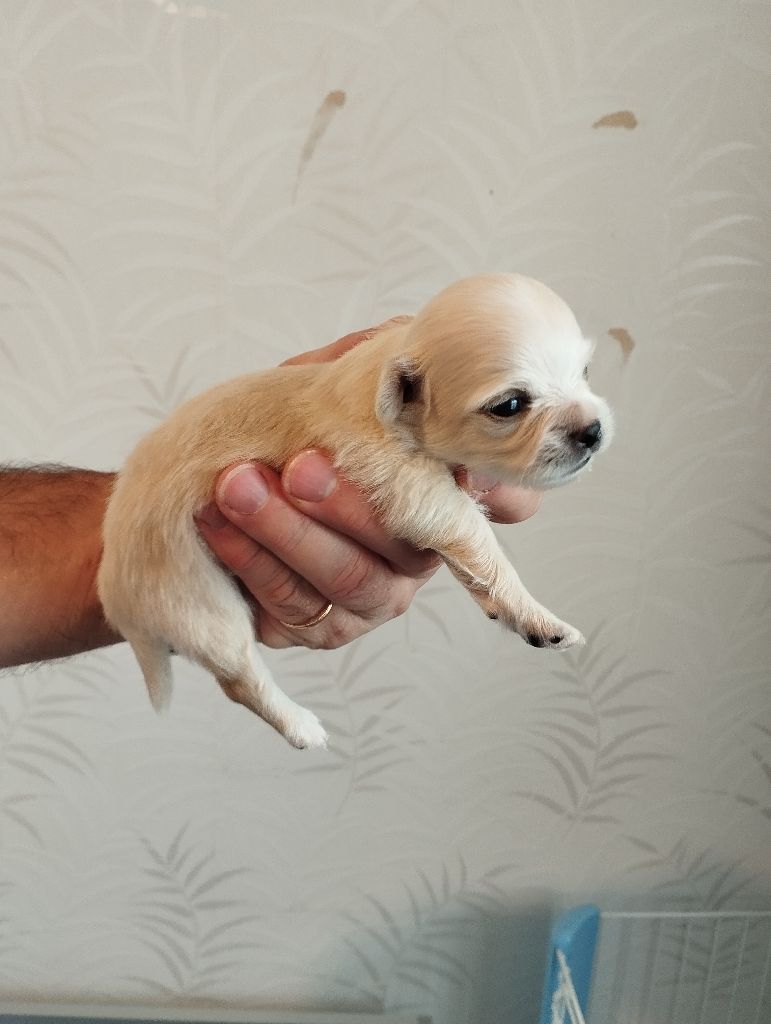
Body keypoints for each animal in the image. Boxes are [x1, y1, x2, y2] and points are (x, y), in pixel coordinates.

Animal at [98, 273, 613, 750]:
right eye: (510, 405)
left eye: (586, 371)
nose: (592, 430)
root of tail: (114, 591)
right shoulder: (412, 487)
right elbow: (479, 541)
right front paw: (537, 617)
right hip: (201, 602)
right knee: (240, 679)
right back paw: (301, 726)